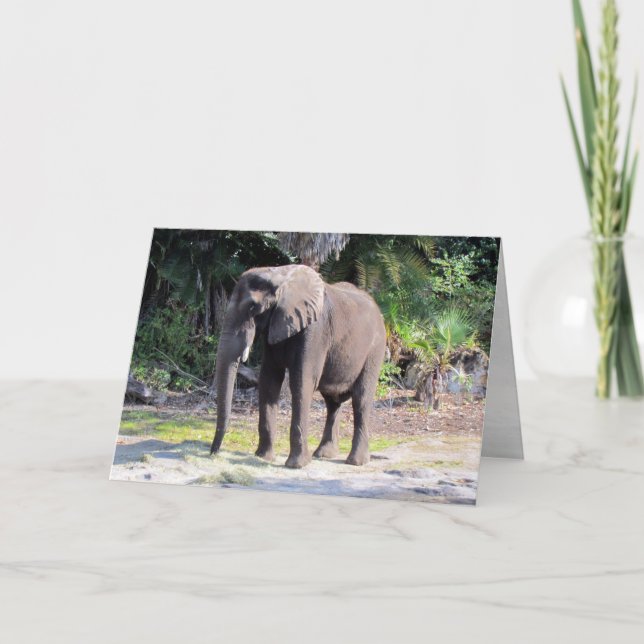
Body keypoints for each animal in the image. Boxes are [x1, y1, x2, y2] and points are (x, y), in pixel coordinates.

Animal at [210, 264, 386, 469]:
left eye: (253, 307)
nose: (213, 454)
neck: (280, 275)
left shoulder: (315, 330)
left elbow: (301, 381)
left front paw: (296, 465)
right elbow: (269, 380)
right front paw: (263, 457)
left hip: (375, 349)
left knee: (361, 398)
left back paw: (356, 462)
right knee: (332, 402)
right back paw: (324, 455)